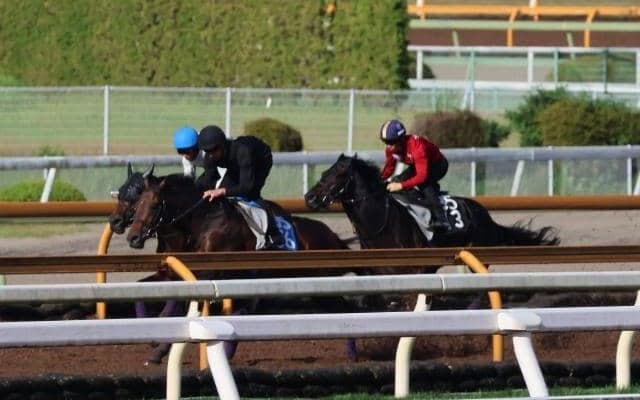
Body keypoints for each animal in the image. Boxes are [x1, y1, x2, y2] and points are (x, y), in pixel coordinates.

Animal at [304, 154, 560, 308]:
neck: (380, 224)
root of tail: (484, 215)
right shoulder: (379, 276)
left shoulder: (413, 273)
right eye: (324, 173)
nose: (309, 197)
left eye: (337, 175)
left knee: (481, 290)